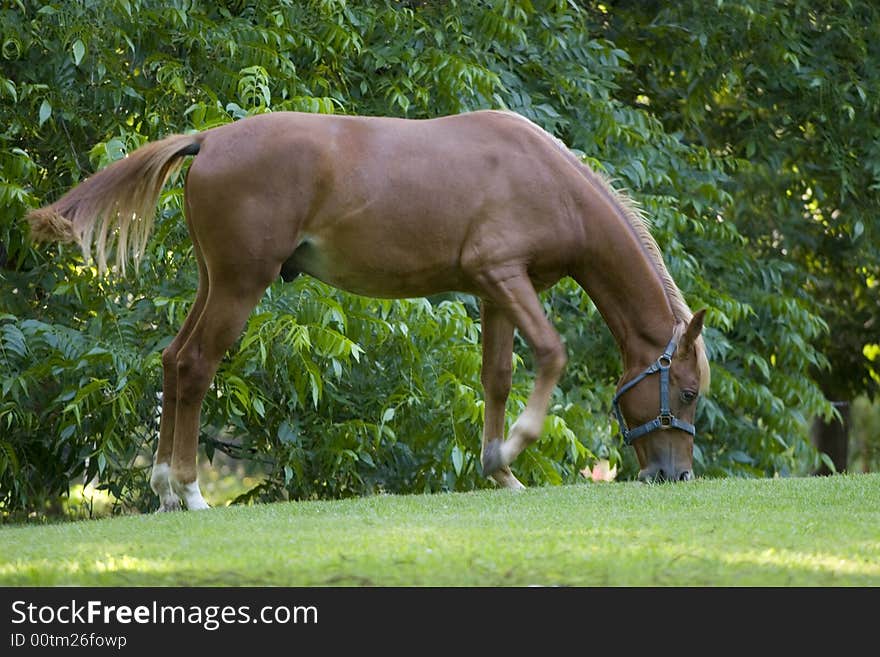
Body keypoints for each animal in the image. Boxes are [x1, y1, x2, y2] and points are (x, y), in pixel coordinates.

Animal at [29, 110, 708, 510]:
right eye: (690, 392)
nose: (675, 475)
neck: (549, 179)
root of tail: (210, 139)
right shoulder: (506, 279)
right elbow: (550, 353)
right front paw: (515, 447)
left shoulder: (494, 290)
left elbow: (497, 377)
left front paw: (499, 470)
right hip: (239, 286)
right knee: (196, 365)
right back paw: (190, 492)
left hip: (214, 282)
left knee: (173, 362)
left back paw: (167, 488)